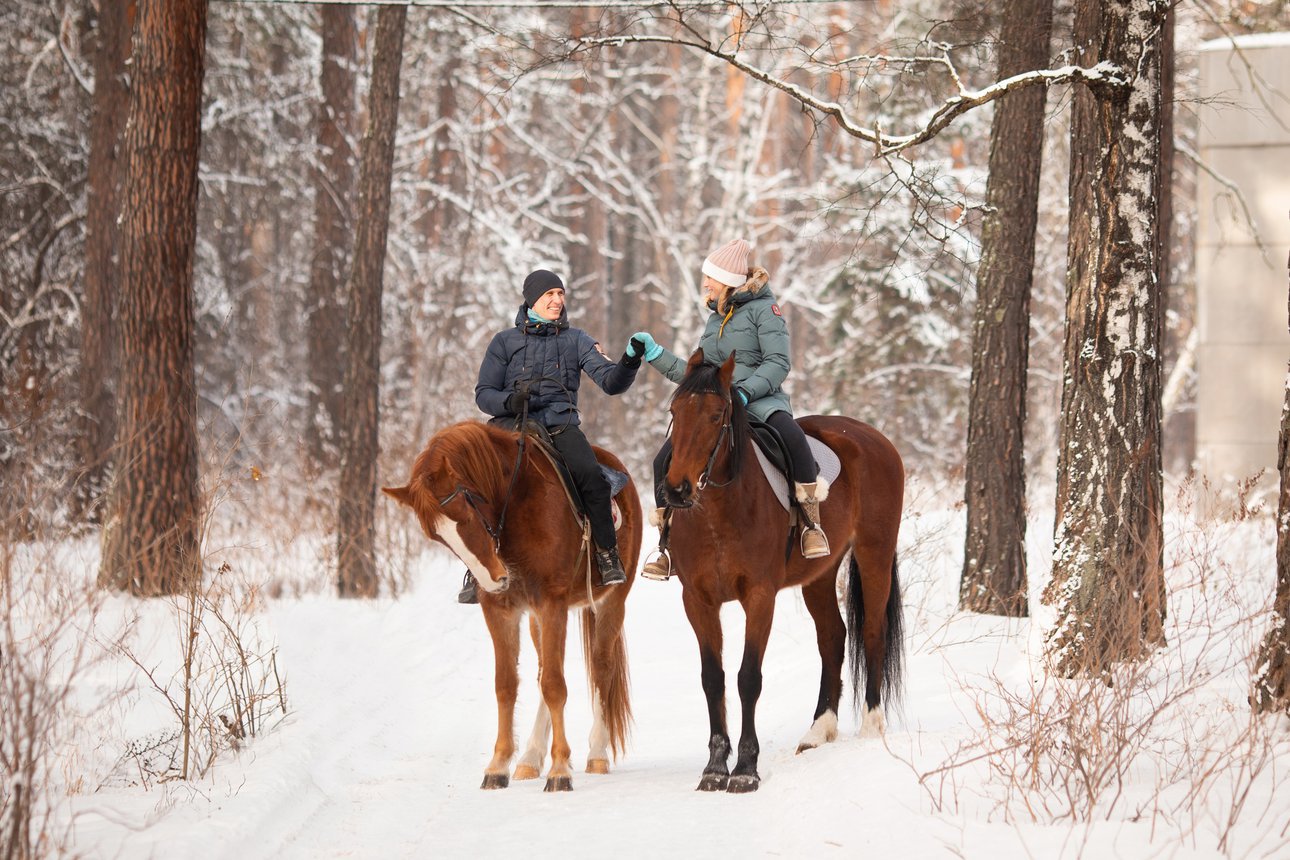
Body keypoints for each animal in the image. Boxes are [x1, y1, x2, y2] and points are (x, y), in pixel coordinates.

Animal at [381, 420, 645, 789]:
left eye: (466, 511)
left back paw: (596, 754)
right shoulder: (501, 610)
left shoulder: (552, 603)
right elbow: (507, 684)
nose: (494, 579)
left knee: (601, 668)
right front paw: (499, 765)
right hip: (536, 619)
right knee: (543, 672)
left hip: (611, 603)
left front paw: (560, 770)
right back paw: (530, 758)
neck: (517, 502)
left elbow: (555, 685)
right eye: (437, 536)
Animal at [660, 350, 903, 794]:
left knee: (873, 631)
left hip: (874, 553)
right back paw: (818, 731)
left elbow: (748, 678)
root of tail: (874, 437)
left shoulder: (759, 597)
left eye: (717, 415)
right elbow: (713, 678)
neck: (719, 515)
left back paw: (872, 725)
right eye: (675, 411)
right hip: (820, 574)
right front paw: (714, 768)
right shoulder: (698, 600)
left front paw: (745, 770)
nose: (677, 490)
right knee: (833, 637)